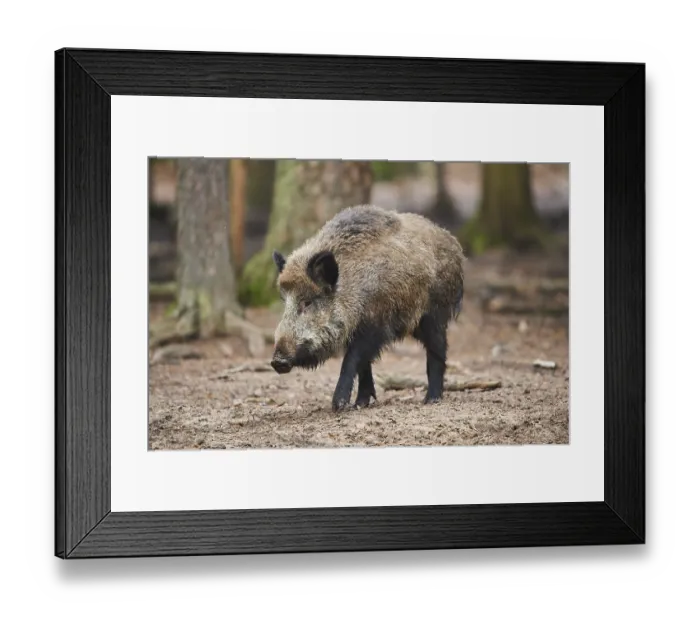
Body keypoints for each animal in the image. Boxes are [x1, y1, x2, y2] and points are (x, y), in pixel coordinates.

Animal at [270, 204, 465, 412]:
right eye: (285, 301)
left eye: (307, 302)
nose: (277, 361)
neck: (353, 290)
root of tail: (453, 243)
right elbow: (363, 366)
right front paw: (360, 404)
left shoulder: (374, 326)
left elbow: (352, 360)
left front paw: (339, 405)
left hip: (434, 313)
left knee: (438, 348)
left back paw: (431, 399)